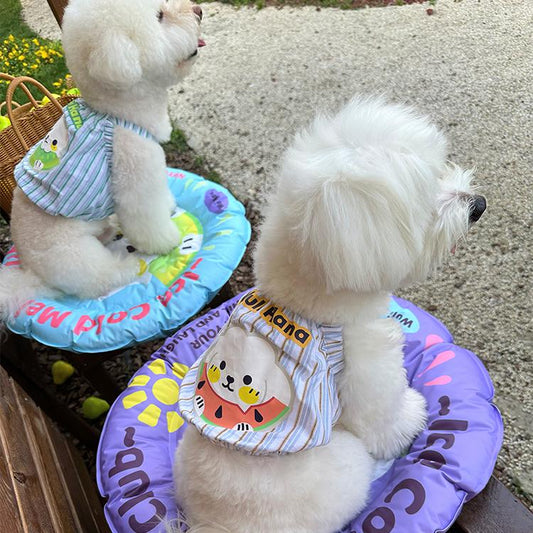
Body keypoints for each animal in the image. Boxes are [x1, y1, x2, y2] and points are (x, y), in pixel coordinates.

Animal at [0, 0, 204, 312]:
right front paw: (167, 241)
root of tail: (30, 273)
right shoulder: (138, 178)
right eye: (159, 16)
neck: (118, 111)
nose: (198, 10)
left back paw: (110, 229)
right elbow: (148, 219)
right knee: (101, 279)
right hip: (77, 257)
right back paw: (127, 266)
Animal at [172, 96, 484, 532]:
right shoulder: (369, 366)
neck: (309, 301)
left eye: (441, 168)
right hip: (346, 465)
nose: (478, 206)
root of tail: (213, 524)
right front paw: (412, 418)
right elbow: (384, 417)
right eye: (426, 202)